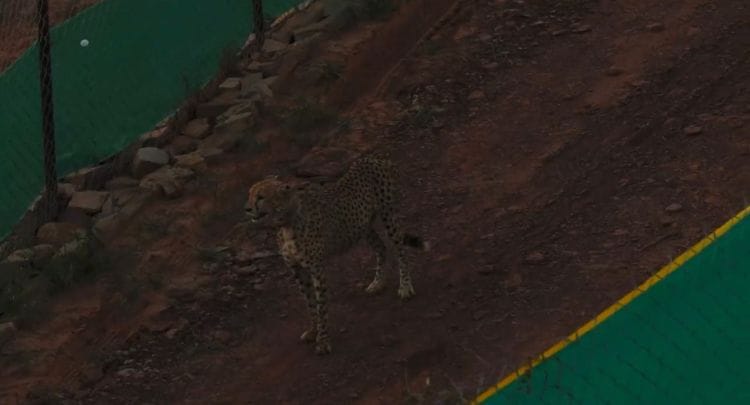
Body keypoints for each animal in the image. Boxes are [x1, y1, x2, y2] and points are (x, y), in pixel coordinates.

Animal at [244, 156, 429, 355]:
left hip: (388, 214)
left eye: (261, 197)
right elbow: (310, 302)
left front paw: (323, 340)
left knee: (400, 249)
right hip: (362, 226)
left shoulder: (317, 269)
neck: (286, 224)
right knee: (381, 247)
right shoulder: (297, 270)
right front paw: (313, 331)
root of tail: (372, 157)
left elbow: (321, 305)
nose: (247, 209)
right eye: (249, 194)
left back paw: (405, 286)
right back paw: (377, 283)